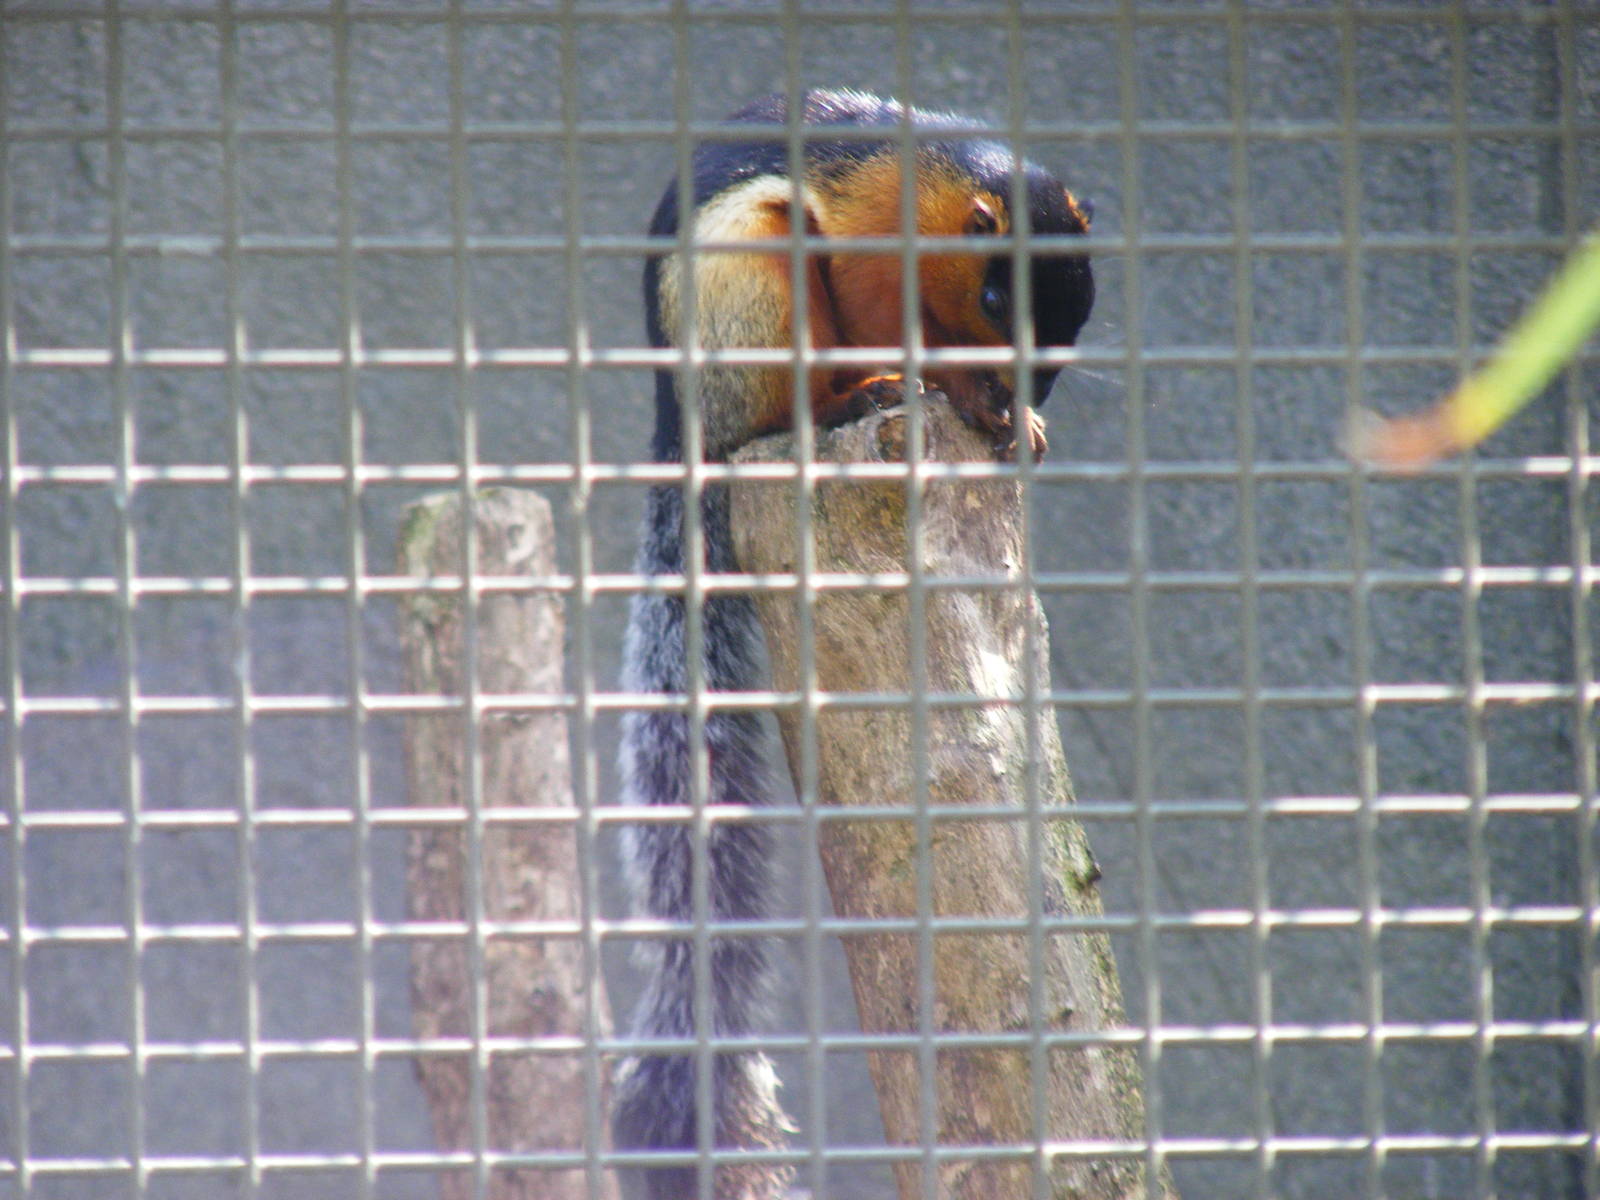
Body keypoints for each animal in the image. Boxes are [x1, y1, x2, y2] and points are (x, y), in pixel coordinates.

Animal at [612, 88, 1094, 1199]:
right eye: (999, 296)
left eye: (1081, 304)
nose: (1034, 385)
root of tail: (680, 421)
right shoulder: (869, 257)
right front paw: (968, 396)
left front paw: (1014, 420)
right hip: (753, 290)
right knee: (765, 422)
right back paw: (850, 397)